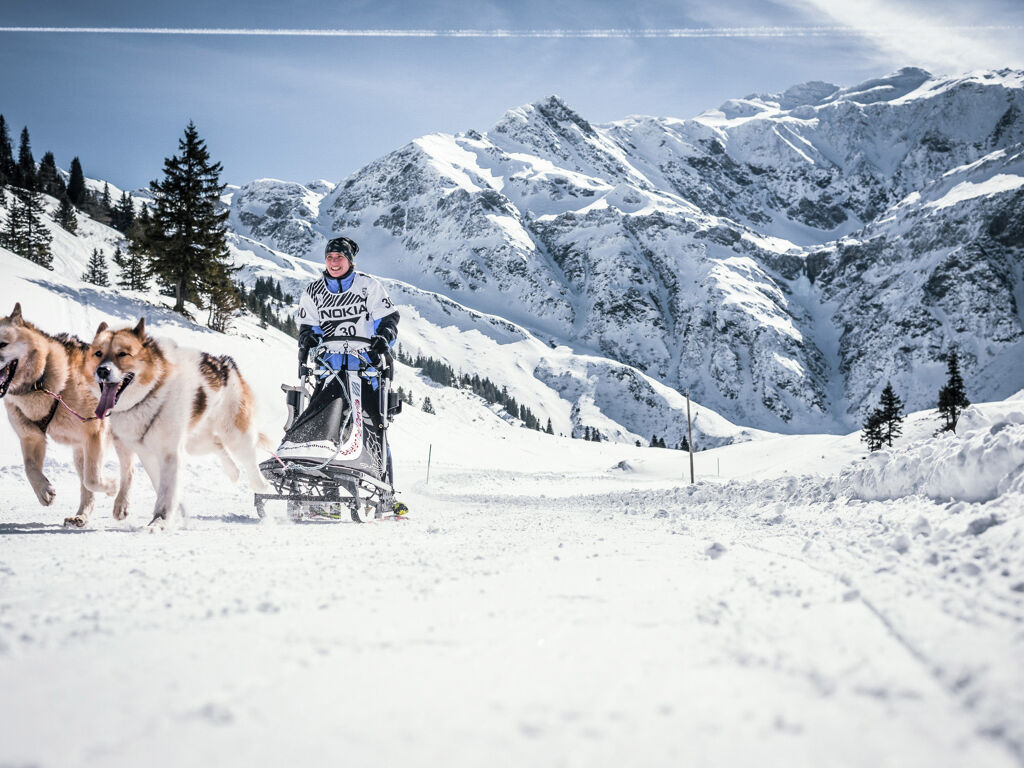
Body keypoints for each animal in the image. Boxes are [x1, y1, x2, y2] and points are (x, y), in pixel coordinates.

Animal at [0, 303, 117, 528]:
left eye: (2, 344)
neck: (40, 381)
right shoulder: (31, 437)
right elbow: (30, 468)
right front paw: (44, 491)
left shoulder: (95, 433)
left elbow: (93, 479)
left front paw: (111, 486)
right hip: (81, 453)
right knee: (86, 486)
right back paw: (81, 516)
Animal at [86, 317, 268, 528]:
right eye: (98, 353)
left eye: (123, 353)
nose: (102, 370)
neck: (151, 394)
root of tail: (227, 363)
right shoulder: (146, 454)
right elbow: (157, 484)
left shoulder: (169, 454)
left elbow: (166, 491)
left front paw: (158, 523)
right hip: (195, 443)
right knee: (217, 444)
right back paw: (233, 472)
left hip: (235, 435)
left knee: (249, 460)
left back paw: (261, 485)